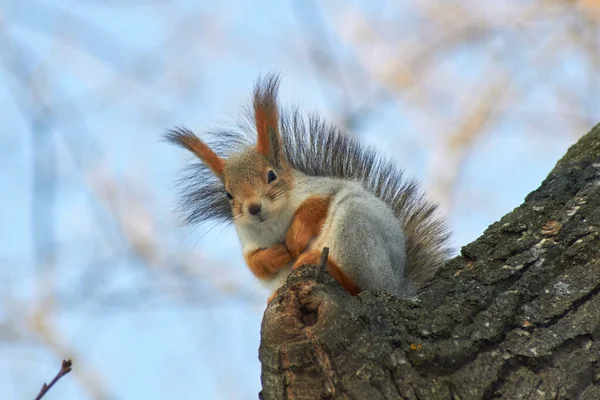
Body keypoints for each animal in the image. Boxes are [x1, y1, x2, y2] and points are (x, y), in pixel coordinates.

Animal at [165, 72, 450, 304]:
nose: (254, 208)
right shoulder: (248, 239)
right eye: (228, 194)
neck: (275, 219)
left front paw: (294, 239)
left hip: (357, 230)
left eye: (271, 175)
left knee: (360, 285)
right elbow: (254, 264)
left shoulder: (322, 187)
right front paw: (277, 253)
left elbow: (316, 205)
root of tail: (397, 286)